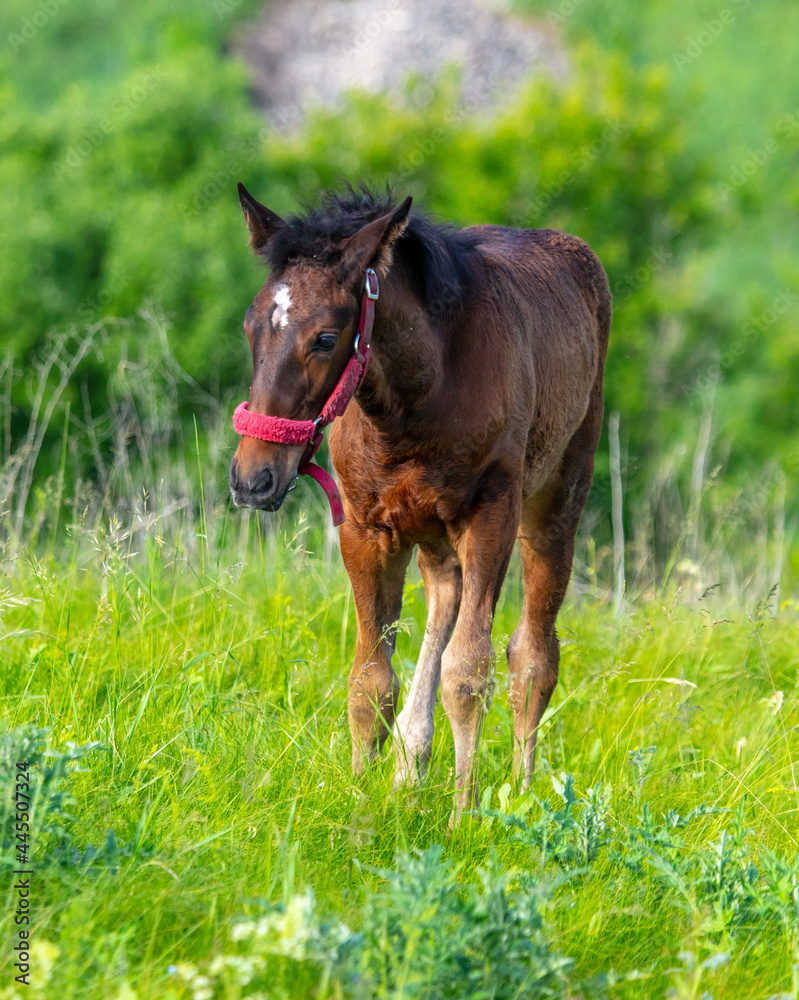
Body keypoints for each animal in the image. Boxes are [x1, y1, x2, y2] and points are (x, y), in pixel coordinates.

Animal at [229, 182, 611, 817]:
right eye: (250, 326)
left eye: (325, 338)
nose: (252, 478)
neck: (416, 400)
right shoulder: (365, 527)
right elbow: (370, 681)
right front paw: (359, 800)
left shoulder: (490, 513)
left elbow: (469, 671)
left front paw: (464, 816)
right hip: (432, 531)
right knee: (445, 600)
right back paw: (411, 767)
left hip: (556, 499)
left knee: (532, 653)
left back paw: (523, 793)